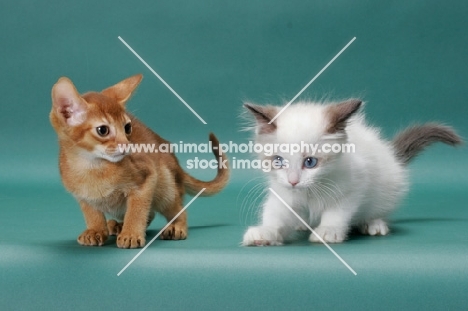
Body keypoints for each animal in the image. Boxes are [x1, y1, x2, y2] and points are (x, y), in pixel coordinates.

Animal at [49, 74, 229, 250]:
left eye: (127, 127)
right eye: (103, 130)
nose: (127, 146)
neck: (91, 166)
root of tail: (176, 164)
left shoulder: (147, 177)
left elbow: (137, 211)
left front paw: (131, 234)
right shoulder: (82, 195)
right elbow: (92, 213)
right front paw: (95, 230)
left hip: (166, 187)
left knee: (177, 210)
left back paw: (175, 227)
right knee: (150, 213)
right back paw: (118, 225)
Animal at [243, 100, 462, 246]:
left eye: (310, 162)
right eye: (278, 161)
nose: (293, 181)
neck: (309, 193)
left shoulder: (353, 187)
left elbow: (336, 212)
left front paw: (328, 231)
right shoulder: (282, 193)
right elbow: (275, 216)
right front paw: (265, 232)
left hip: (387, 186)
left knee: (378, 210)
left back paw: (373, 225)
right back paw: (302, 224)